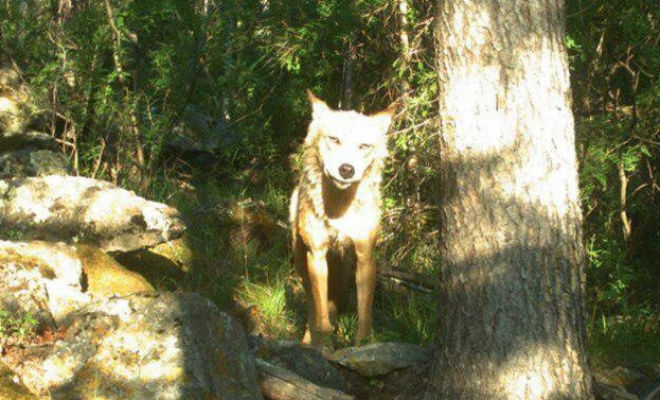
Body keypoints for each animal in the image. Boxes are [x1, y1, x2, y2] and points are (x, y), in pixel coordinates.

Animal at [288, 90, 392, 346]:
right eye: (333, 139)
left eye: (364, 145)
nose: (346, 169)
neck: (338, 209)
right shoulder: (316, 254)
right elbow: (321, 318)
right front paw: (322, 344)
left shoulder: (365, 257)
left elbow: (364, 315)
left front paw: (363, 344)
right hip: (302, 262)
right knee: (313, 307)